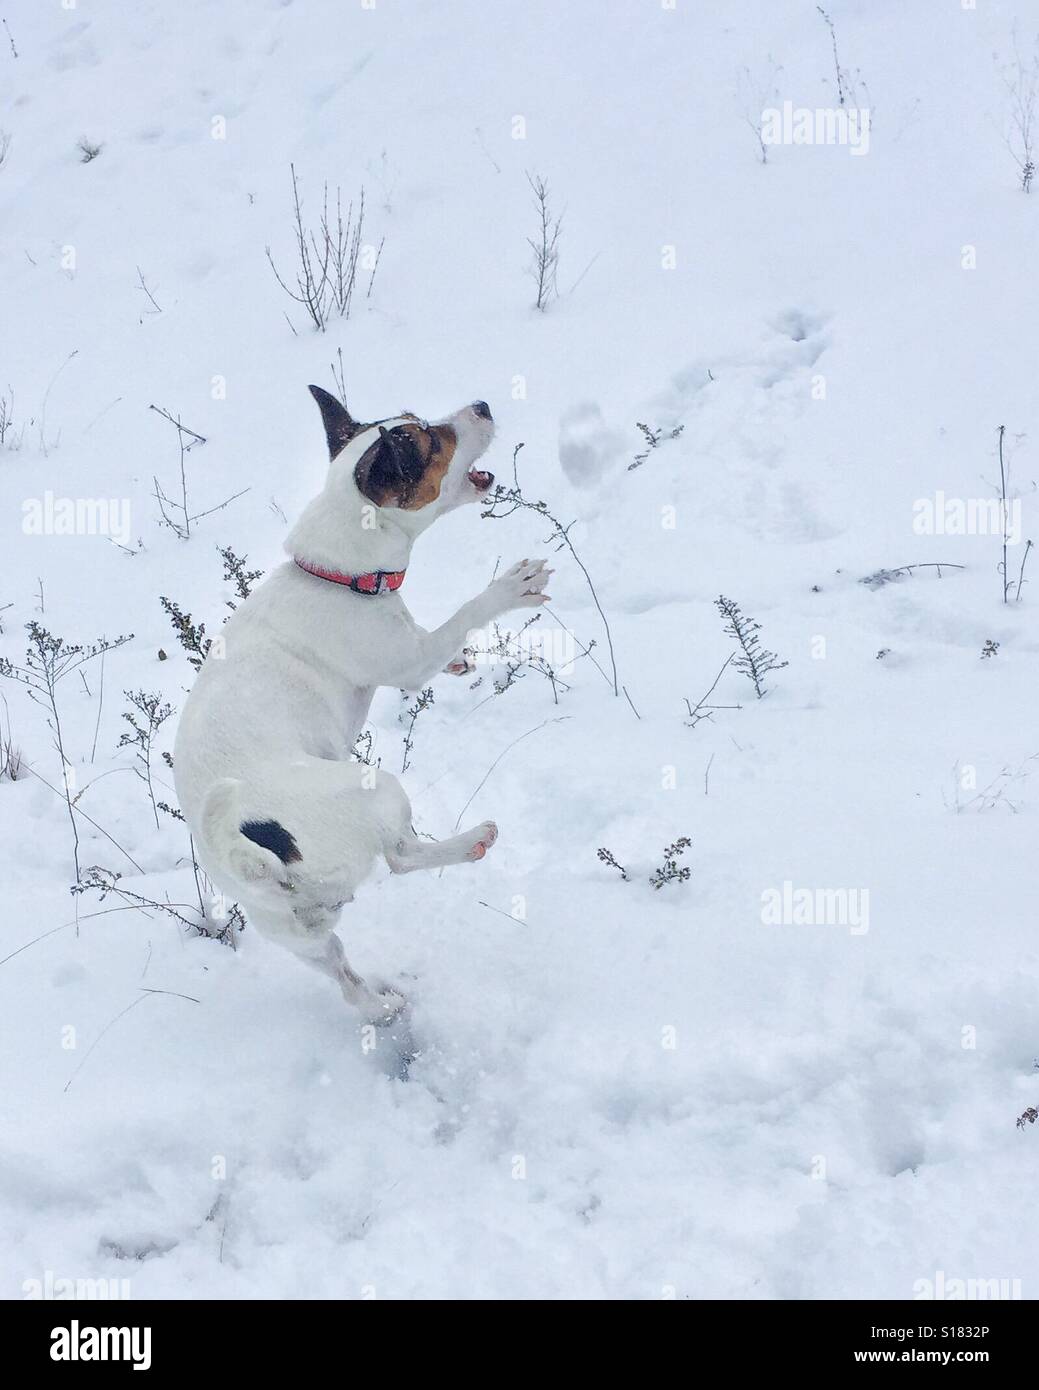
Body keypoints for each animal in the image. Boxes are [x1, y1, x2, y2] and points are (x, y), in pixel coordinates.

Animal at [172, 389, 553, 1023]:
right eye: (430, 441)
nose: (481, 404)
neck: (337, 575)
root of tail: (247, 850)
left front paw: (460, 661)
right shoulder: (408, 664)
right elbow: (458, 621)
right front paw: (508, 590)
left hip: (301, 937)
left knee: (349, 983)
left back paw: (384, 1006)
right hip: (375, 791)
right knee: (401, 856)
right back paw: (471, 840)